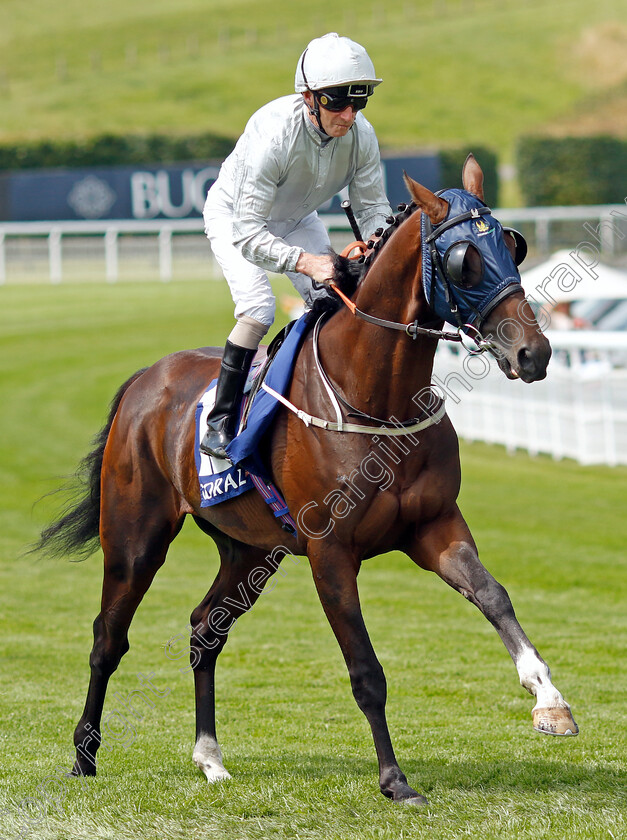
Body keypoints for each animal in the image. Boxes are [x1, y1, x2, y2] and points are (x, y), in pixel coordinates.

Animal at [38, 156, 580, 808]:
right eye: (462, 260)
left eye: (512, 245)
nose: (533, 353)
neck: (375, 401)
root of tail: (145, 378)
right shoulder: (331, 552)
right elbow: (366, 670)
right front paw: (394, 779)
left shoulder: (434, 527)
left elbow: (494, 596)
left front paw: (550, 701)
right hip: (134, 538)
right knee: (107, 638)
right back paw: (83, 755)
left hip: (250, 551)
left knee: (205, 630)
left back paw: (209, 757)